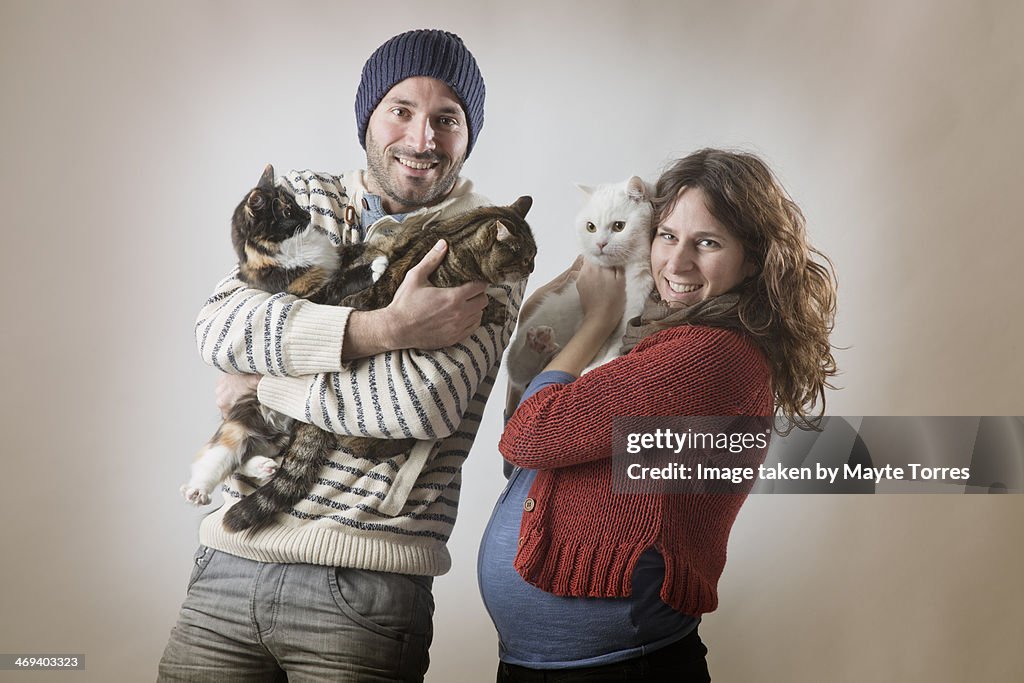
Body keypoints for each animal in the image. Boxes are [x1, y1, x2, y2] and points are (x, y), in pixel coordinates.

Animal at [503, 176, 655, 409]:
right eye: (590, 227)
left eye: (619, 226)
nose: (600, 244)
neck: (626, 271)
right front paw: (591, 367)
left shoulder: (632, 313)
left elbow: (615, 346)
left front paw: (597, 366)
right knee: (517, 368)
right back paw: (537, 344)